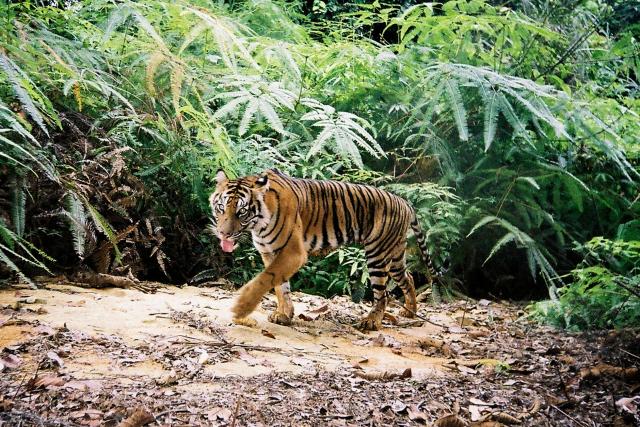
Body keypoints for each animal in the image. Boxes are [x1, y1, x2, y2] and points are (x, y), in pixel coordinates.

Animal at [210, 168, 434, 331]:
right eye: (221, 208)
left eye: (241, 212)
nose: (224, 234)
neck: (258, 225)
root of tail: (404, 201)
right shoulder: (269, 252)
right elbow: (280, 285)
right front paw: (284, 314)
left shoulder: (293, 252)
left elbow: (265, 280)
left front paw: (241, 309)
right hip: (395, 255)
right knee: (409, 278)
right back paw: (410, 312)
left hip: (377, 254)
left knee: (382, 294)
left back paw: (371, 322)